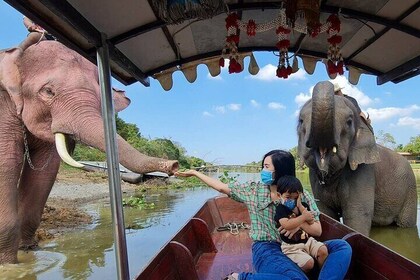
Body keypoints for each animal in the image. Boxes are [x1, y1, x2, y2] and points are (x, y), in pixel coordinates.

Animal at [0, 31, 179, 264]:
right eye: (48, 91)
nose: (174, 165)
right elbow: (6, 161)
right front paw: (10, 265)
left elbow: (46, 171)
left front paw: (29, 252)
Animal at [296, 80, 418, 236]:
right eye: (301, 121)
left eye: (349, 122)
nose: (332, 83)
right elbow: (325, 212)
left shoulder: (364, 171)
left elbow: (357, 215)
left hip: (410, 192)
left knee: (405, 224)